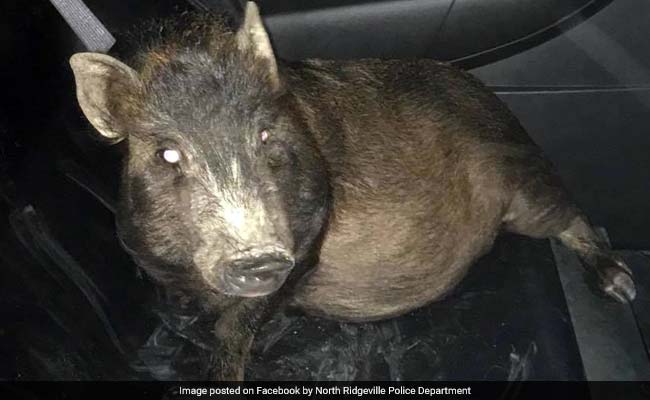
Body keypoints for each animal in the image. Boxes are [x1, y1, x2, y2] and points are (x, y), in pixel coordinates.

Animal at [68, 2, 636, 380]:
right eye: (167, 154)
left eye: (266, 134)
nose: (257, 256)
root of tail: (494, 100)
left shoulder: (307, 233)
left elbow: (239, 324)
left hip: (521, 183)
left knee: (573, 214)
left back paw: (622, 287)